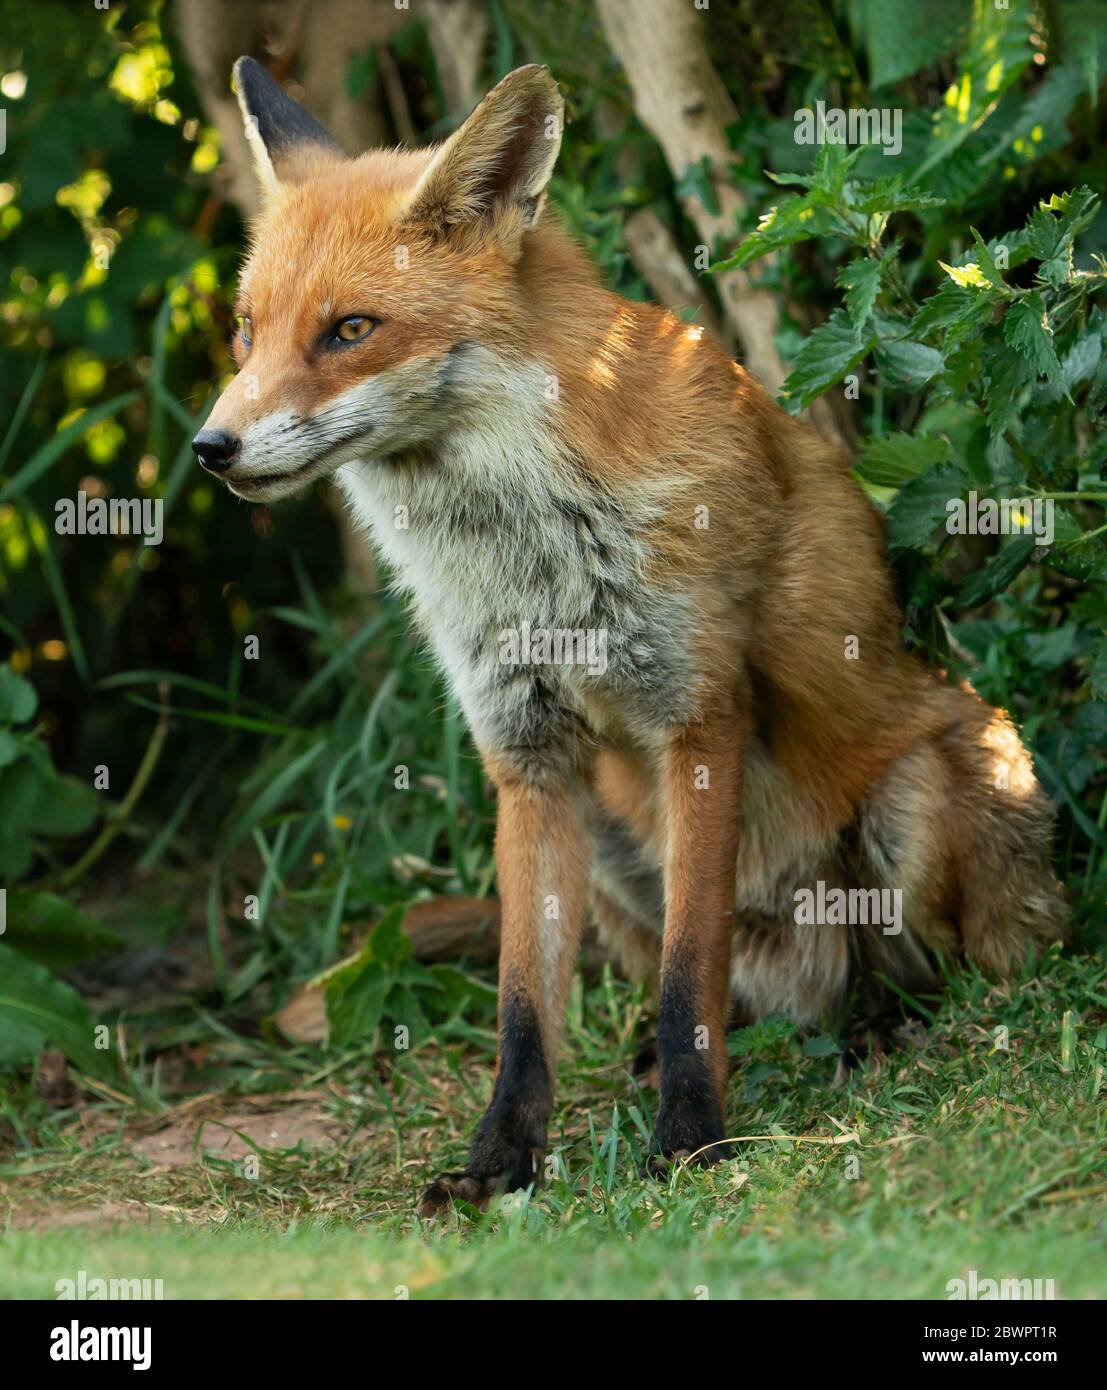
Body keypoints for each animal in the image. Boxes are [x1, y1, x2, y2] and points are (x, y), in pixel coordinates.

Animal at [194, 59, 1068, 1217]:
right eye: (248, 330)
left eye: (348, 330)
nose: (211, 446)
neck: (526, 551)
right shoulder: (527, 754)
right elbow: (525, 1009)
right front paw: (501, 1161)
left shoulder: (697, 717)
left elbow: (687, 973)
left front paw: (693, 1139)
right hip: (618, 853)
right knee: (729, 991)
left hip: (912, 810)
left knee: (921, 969)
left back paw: (877, 1029)